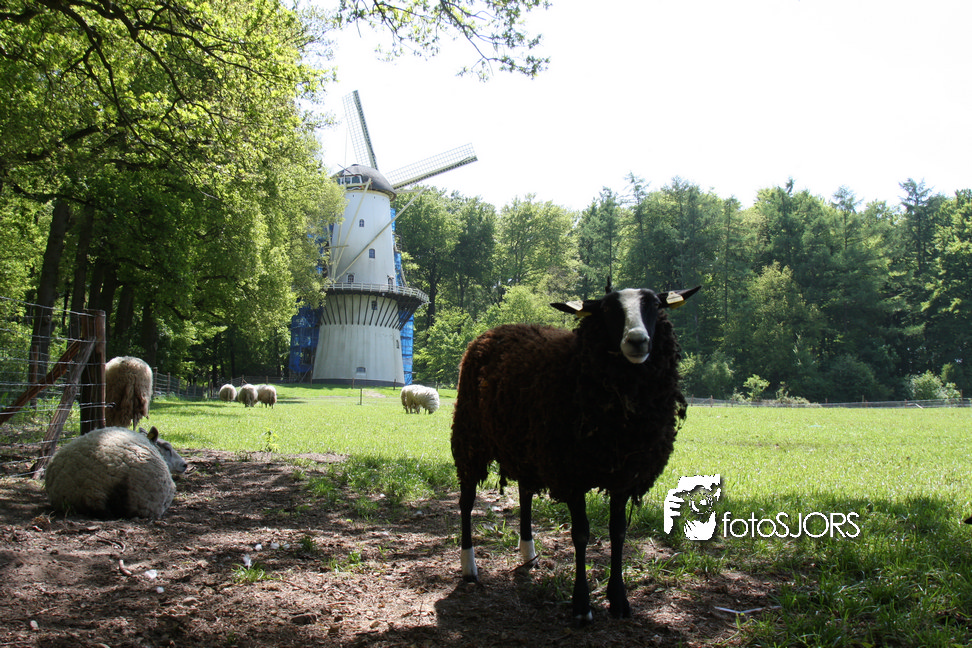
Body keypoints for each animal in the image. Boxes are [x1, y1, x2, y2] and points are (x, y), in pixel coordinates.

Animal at [451, 284, 700, 624]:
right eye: (607, 309)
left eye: (654, 305)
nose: (638, 341)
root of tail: (492, 332)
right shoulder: (571, 473)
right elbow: (581, 534)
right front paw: (582, 605)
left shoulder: (623, 475)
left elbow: (618, 532)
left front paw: (619, 599)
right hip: (470, 438)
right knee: (466, 501)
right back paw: (469, 566)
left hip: (525, 448)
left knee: (525, 494)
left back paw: (528, 552)